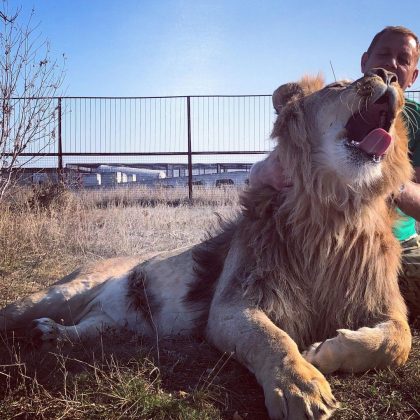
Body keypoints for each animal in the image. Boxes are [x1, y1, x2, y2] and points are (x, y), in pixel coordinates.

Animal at [0, 67, 414, 418]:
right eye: (339, 85)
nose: (388, 74)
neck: (333, 212)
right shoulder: (232, 305)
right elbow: (273, 340)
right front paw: (301, 387)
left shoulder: (381, 302)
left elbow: (399, 341)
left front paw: (324, 353)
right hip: (59, 293)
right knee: (17, 310)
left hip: (112, 324)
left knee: (89, 327)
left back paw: (51, 334)